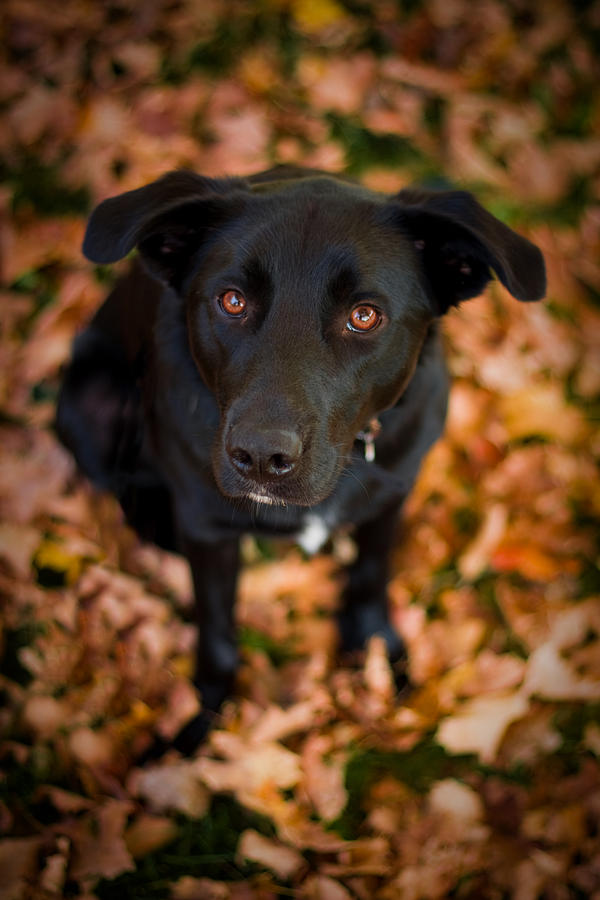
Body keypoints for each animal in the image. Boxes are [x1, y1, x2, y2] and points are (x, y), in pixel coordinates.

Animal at [56, 167, 544, 752]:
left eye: (364, 316)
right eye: (232, 301)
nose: (261, 456)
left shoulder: (394, 491)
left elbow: (371, 574)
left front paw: (375, 650)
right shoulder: (207, 527)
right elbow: (217, 635)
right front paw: (200, 720)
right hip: (88, 406)